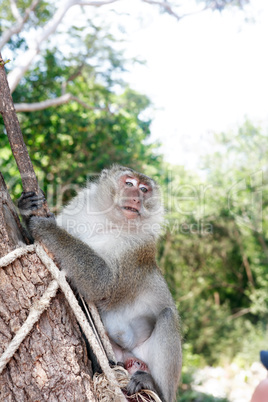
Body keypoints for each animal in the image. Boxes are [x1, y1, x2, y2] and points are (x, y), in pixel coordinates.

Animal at [18, 165, 182, 400]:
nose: (136, 197)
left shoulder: (137, 246)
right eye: (129, 183)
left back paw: (154, 386)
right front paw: (25, 207)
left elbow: (103, 284)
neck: (110, 220)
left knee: (168, 316)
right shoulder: (78, 210)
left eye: (144, 189)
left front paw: (49, 229)